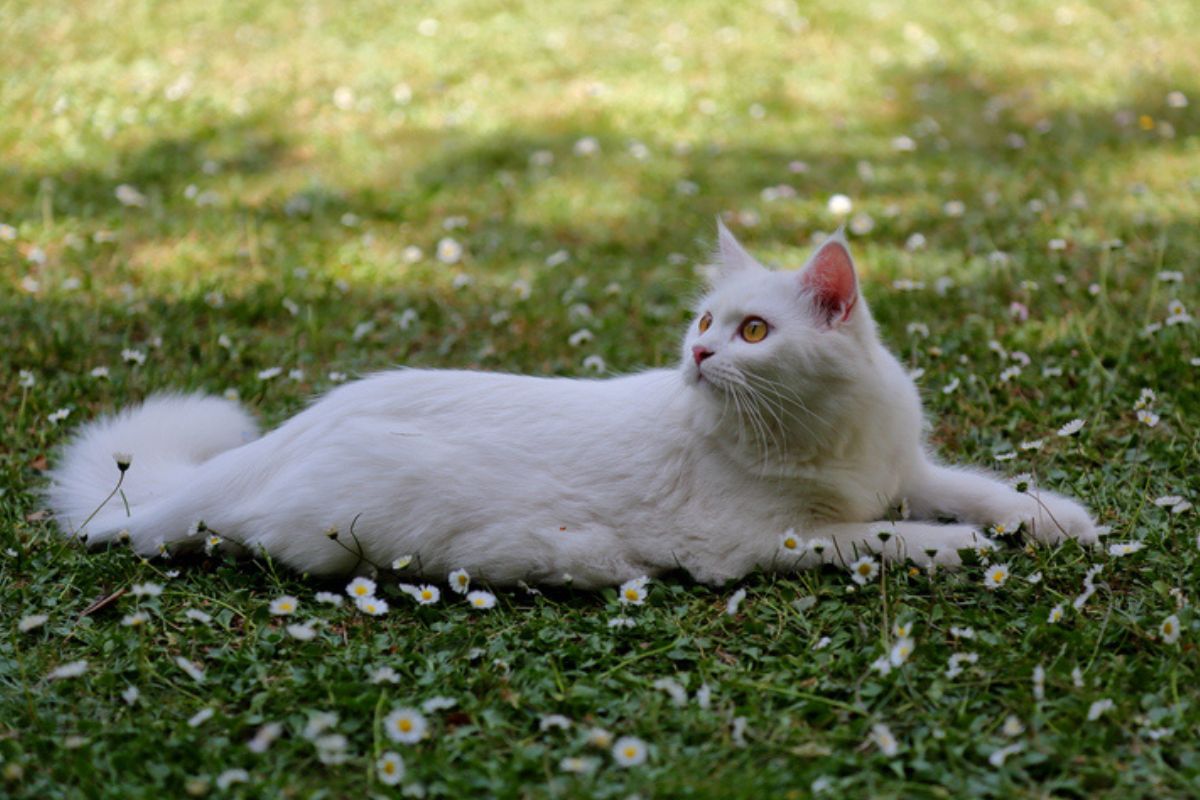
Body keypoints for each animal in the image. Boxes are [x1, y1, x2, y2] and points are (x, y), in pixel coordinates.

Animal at [46, 225, 1099, 587]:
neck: (825, 432)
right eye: (706, 322)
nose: (699, 354)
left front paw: (1053, 520)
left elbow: (977, 488)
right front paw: (959, 548)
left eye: (753, 331)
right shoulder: (760, 541)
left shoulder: (905, 466)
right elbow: (885, 534)